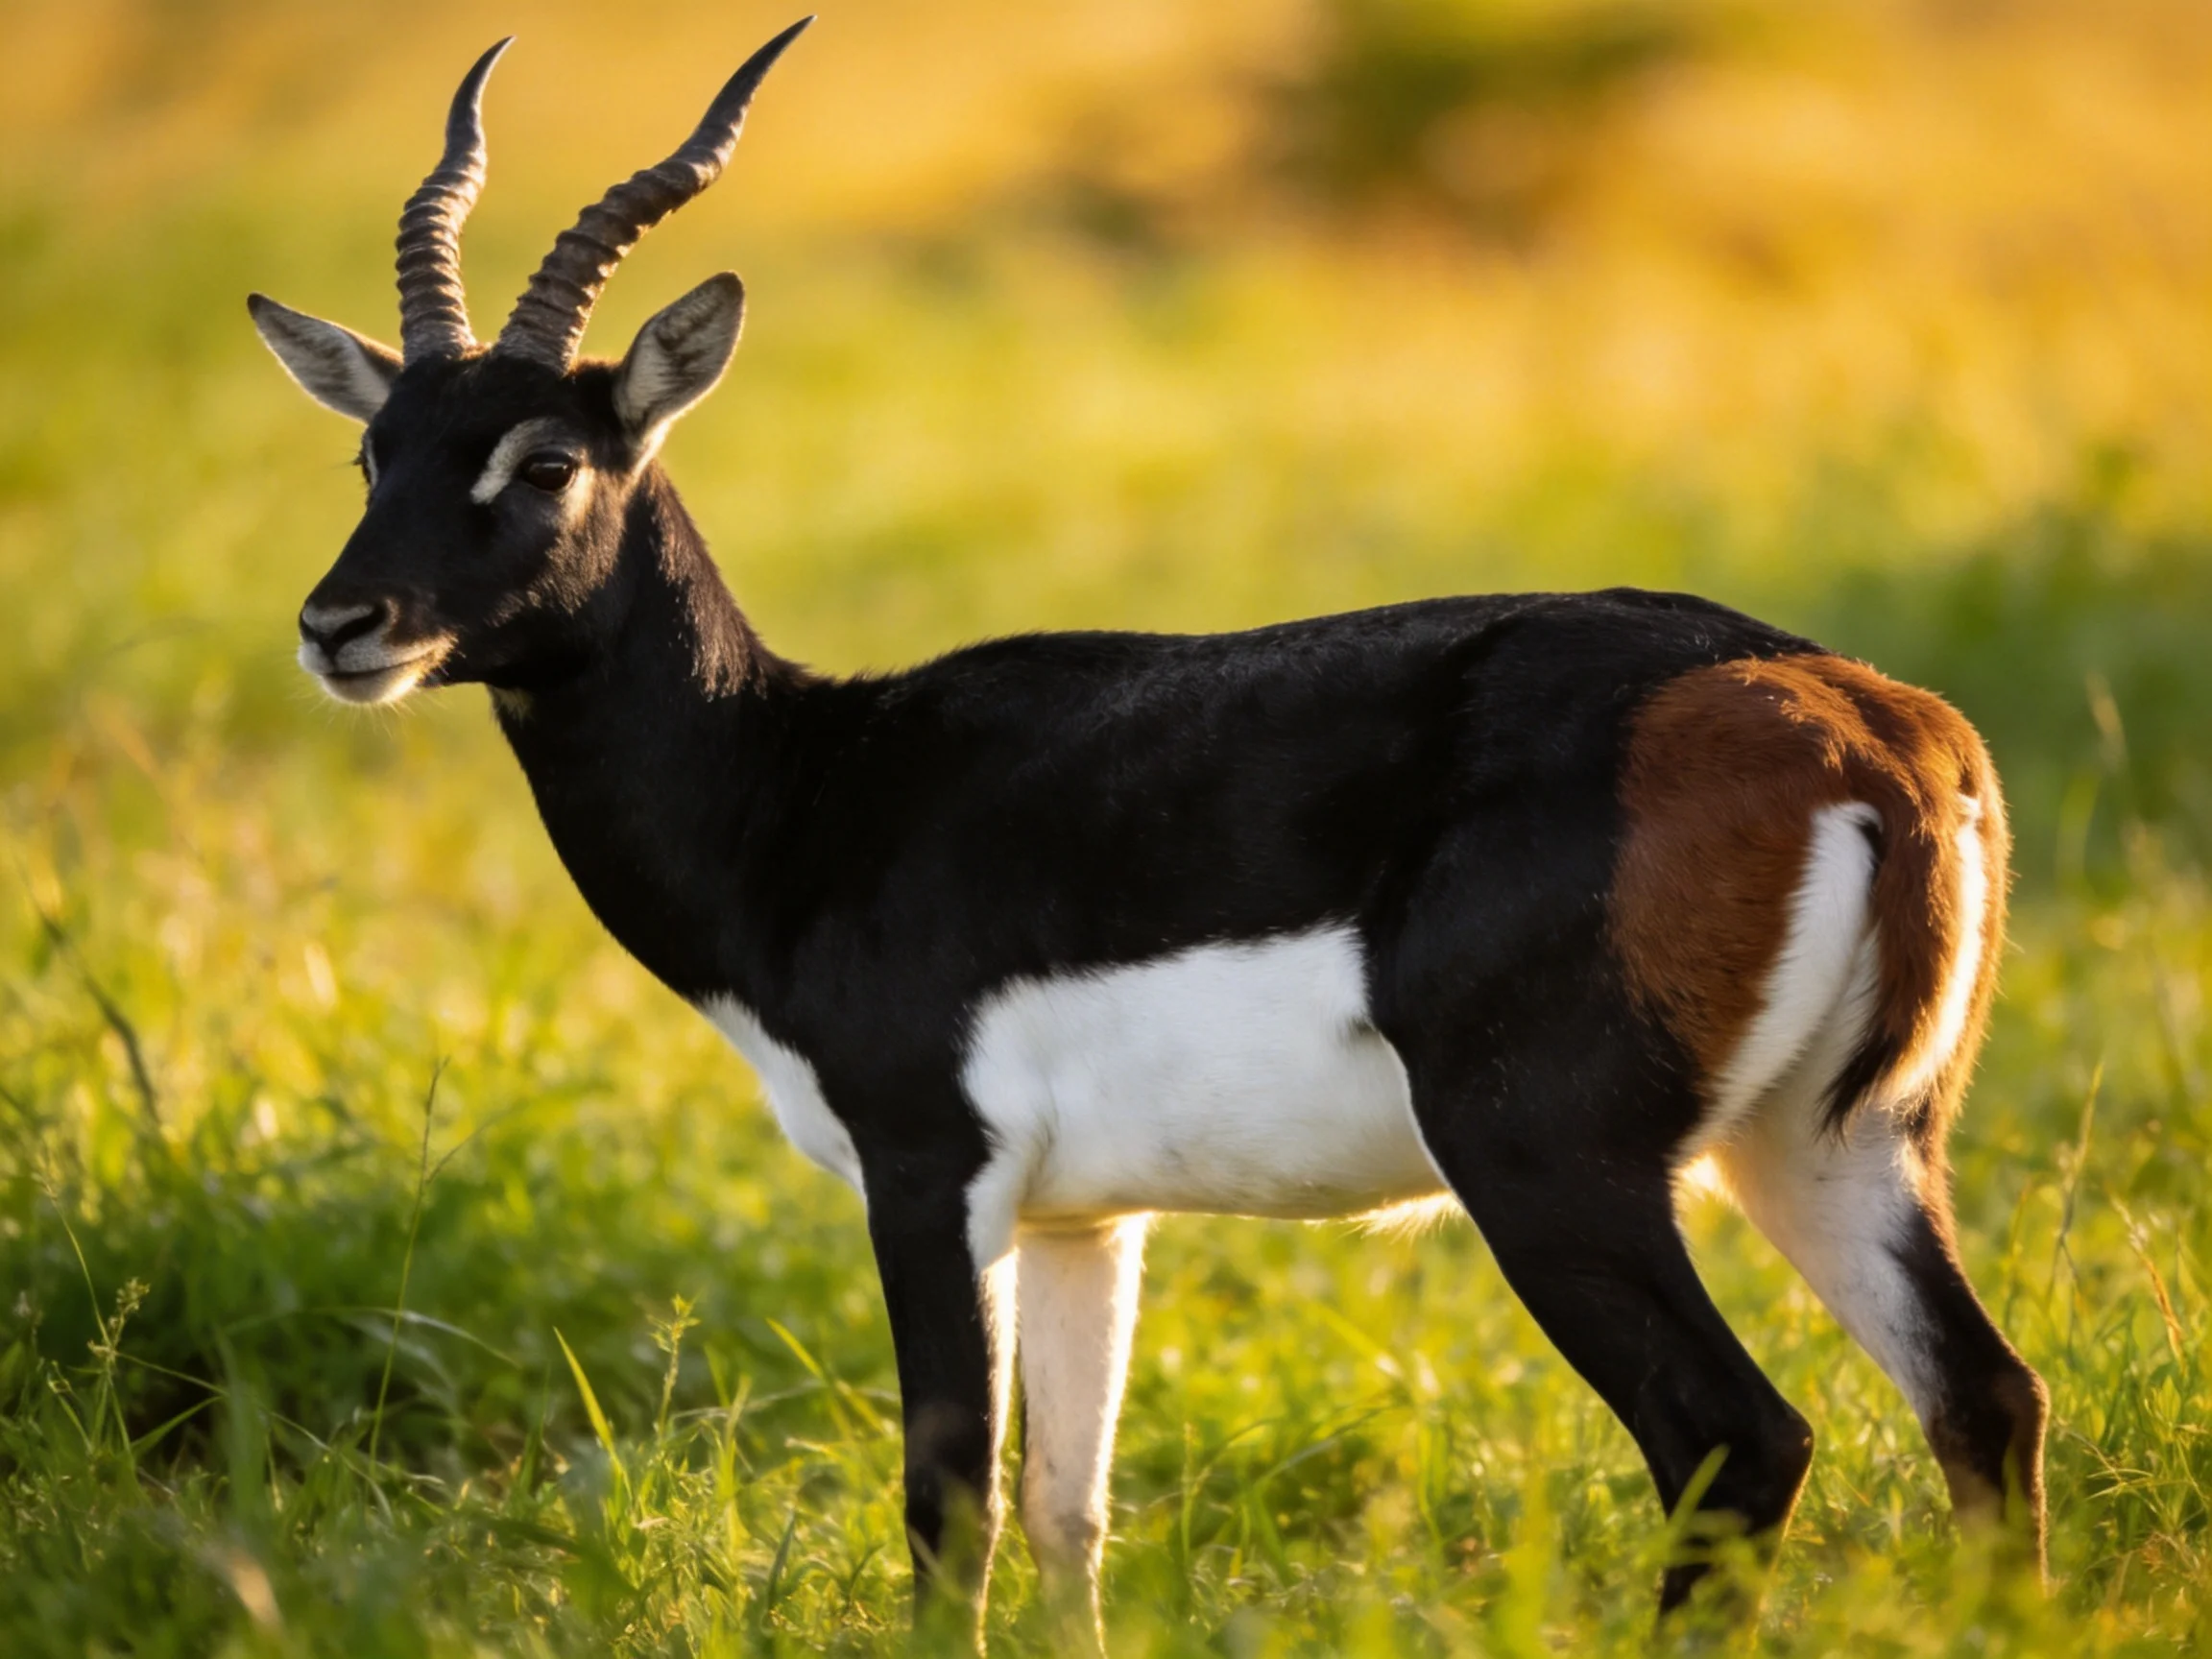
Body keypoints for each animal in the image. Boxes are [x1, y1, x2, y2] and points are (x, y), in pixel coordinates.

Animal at [250, 20, 2048, 1639]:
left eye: (545, 457)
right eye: (373, 449)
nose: (341, 625)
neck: (809, 790)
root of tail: (1861, 721)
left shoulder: (928, 1175)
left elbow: (949, 1506)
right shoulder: (1083, 1218)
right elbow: (1068, 1514)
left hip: (1552, 1164)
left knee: (1737, 1441)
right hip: (1831, 1145)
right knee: (1986, 1402)